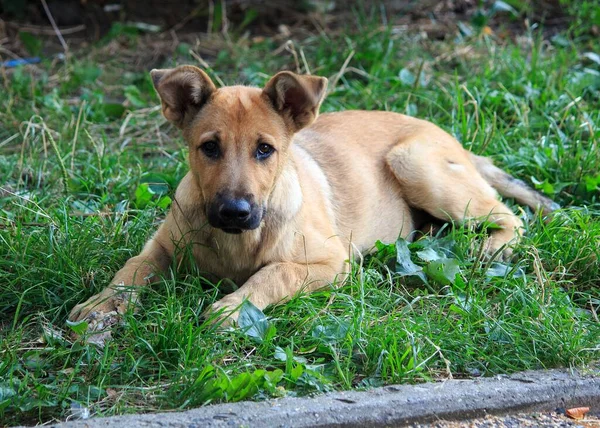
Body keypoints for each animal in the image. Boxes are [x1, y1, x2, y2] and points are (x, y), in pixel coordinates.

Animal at [69, 65, 556, 332]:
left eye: (265, 149)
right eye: (209, 147)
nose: (234, 212)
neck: (237, 241)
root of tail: (456, 144)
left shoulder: (329, 263)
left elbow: (274, 273)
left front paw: (231, 309)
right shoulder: (162, 247)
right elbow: (132, 267)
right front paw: (100, 304)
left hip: (414, 162)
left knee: (511, 218)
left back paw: (482, 249)